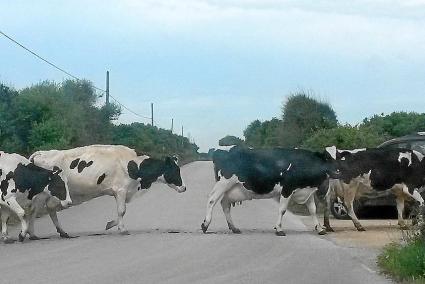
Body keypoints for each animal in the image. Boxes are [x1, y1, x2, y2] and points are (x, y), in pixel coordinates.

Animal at [29, 144, 186, 237]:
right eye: (175, 170)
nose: (184, 187)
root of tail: (41, 153)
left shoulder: (120, 191)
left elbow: (121, 211)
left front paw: (111, 224)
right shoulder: (121, 189)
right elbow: (122, 211)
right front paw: (122, 229)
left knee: (49, 208)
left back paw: (62, 232)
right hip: (40, 192)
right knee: (33, 210)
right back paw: (31, 234)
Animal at [200, 145, 336, 236]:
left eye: (338, 156)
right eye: (328, 158)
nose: (337, 171)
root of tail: (220, 150)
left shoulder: (306, 191)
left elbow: (312, 210)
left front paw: (319, 228)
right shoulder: (287, 189)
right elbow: (282, 210)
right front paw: (279, 229)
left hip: (230, 188)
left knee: (225, 204)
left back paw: (234, 228)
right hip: (223, 183)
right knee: (212, 200)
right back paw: (205, 225)